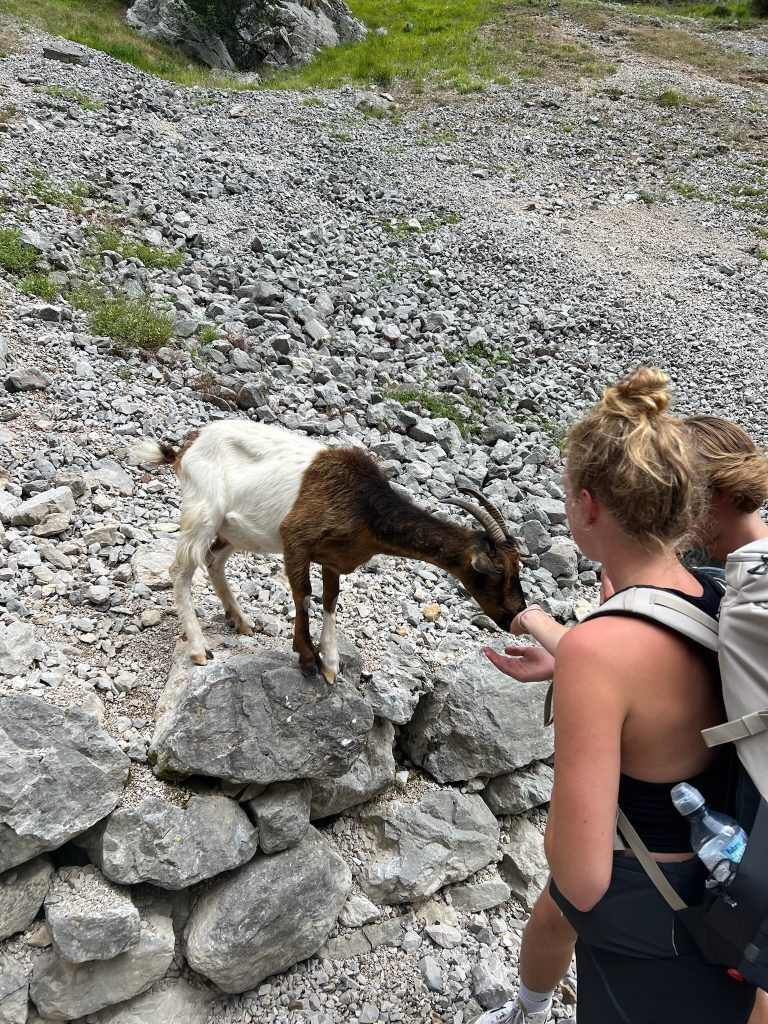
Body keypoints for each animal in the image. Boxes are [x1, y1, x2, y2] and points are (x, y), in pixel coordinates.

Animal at [131, 420, 526, 683]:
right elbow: (303, 594)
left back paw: (240, 620)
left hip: (232, 530)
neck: (364, 505)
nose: (514, 615)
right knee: (181, 570)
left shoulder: (334, 557)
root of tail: (185, 448)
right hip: (202, 513)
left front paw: (332, 664)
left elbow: (331, 600)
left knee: (214, 562)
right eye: (500, 573)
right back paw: (199, 648)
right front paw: (308, 658)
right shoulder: (295, 540)